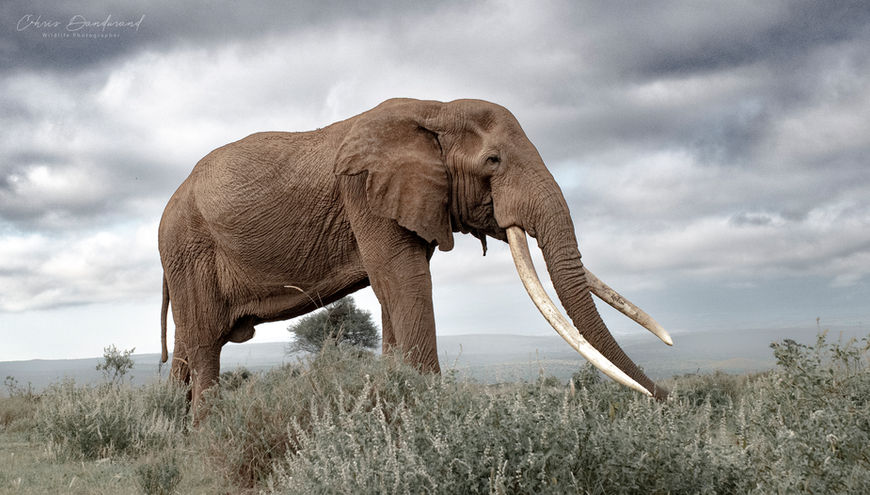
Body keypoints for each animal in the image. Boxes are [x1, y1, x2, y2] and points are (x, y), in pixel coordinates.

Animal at [158, 98, 673, 412]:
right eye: (493, 162)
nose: (667, 398)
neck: (435, 109)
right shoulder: (364, 194)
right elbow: (404, 284)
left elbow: (393, 292)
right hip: (188, 248)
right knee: (204, 345)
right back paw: (204, 435)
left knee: (187, 347)